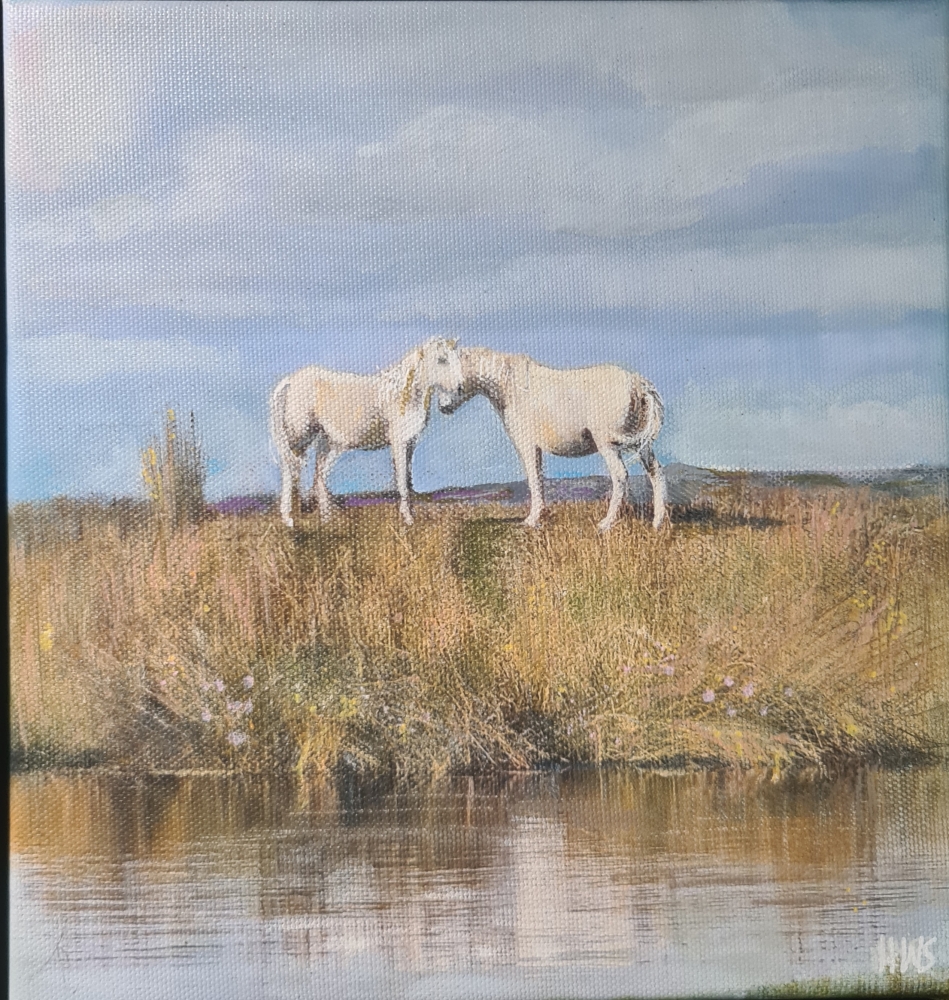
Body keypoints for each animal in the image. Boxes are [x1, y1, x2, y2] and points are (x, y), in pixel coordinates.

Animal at [268, 338, 464, 528]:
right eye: (441, 360)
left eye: (456, 358)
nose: (460, 387)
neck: (402, 395)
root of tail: (290, 381)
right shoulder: (399, 443)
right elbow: (401, 481)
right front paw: (408, 520)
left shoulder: (410, 443)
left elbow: (408, 479)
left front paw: (410, 516)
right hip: (300, 438)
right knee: (291, 471)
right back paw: (289, 518)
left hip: (327, 443)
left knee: (318, 476)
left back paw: (326, 520)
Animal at [438, 346, 668, 532]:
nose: (443, 408)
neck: (511, 386)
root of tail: (637, 383)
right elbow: (539, 478)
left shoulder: (527, 444)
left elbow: (533, 478)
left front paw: (531, 520)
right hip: (642, 445)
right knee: (655, 472)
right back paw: (657, 523)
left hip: (608, 445)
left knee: (620, 475)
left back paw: (606, 523)